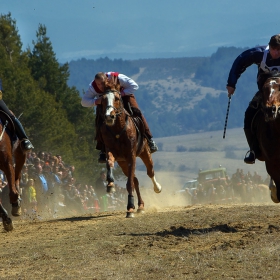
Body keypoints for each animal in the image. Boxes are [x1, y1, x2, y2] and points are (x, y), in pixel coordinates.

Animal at [99, 80, 162, 217]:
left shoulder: (131, 155)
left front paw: (130, 208)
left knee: (150, 172)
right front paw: (110, 183)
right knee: (136, 180)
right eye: (103, 99)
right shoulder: (112, 151)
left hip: (144, 152)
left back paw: (157, 188)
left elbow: (129, 183)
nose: (109, 116)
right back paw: (140, 206)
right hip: (123, 163)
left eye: (117, 98)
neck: (118, 130)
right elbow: (109, 162)